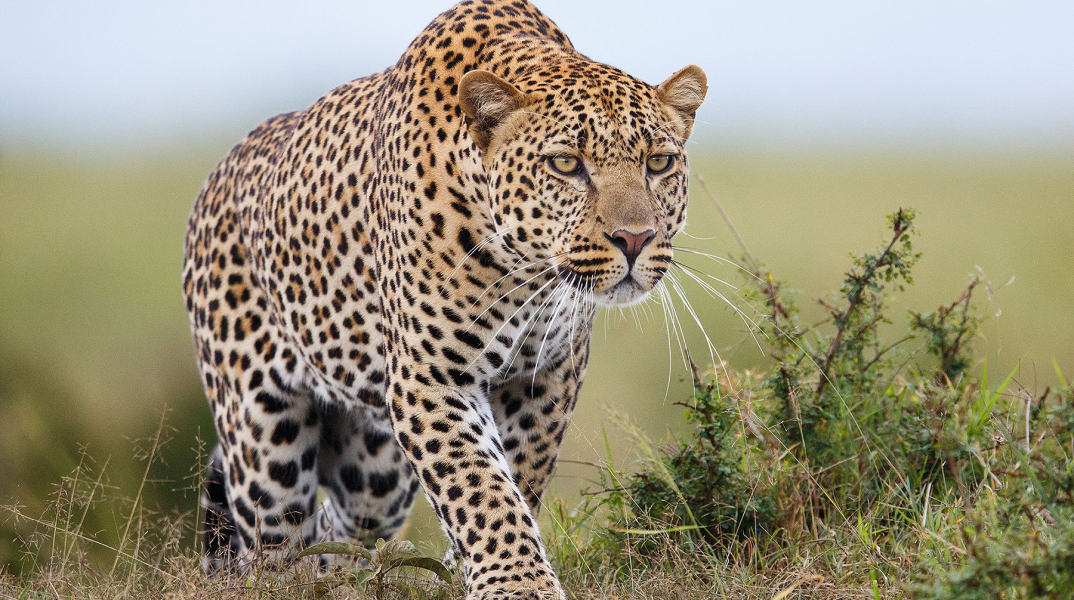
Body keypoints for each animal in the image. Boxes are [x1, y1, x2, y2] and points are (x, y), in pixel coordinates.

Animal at [182, 0, 706, 597]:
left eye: (659, 163)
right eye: (566, 164)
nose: (635, 239)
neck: (526, 272)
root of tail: (219, 173)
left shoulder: (547, 375)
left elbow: (516, 475)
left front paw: (465, 571)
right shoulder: (430, 377)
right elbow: (479, 483)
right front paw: (517, 583)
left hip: (375, 470)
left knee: (341, 529)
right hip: (264, 440)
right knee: (274, 546)